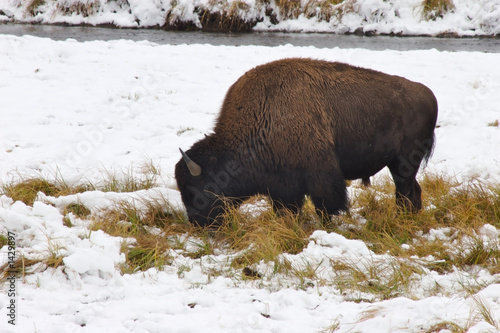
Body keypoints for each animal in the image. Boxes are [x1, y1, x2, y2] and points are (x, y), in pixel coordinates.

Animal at [175, 57, 438, 226]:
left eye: (198, 188)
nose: (197, 222)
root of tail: (428, 94)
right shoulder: (282, 186)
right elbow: (287, 208)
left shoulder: (320, 174)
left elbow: (326, 205)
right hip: (399, 166)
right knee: (413, 191)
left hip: (404, 163)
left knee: (405, 193)